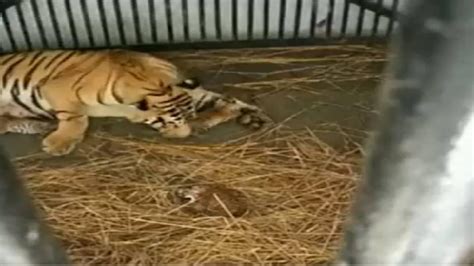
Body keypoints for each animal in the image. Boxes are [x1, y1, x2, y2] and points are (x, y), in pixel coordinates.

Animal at [0, 49, 270, 156]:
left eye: (184, 118)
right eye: (164, 122)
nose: (179, 136)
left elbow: (217, 101)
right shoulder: (57, 88)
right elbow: (76, 116)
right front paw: (59, 143)